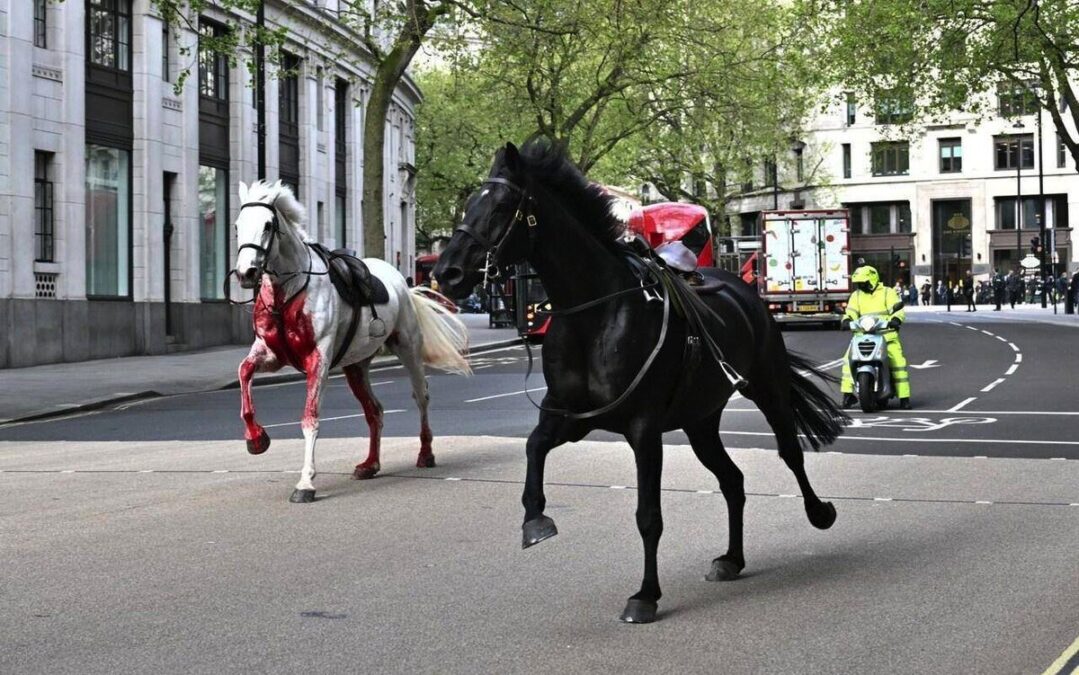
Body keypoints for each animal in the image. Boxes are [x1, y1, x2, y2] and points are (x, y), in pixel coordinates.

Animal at [234, 178, 470, 500]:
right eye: (237, 225)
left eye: (268, 225)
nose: (245, 273)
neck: (289, 292)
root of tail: (402, 282)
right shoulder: (271, 354)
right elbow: (244, 372)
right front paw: (256, 439)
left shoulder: (318, 360)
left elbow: (310, 418)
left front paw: (306, 483)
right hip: (356, 365)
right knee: (374, 411)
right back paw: (370, 465)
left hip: (408, 348)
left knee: (421, 396)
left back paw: (425, 454)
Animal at [433, 139, 845, 621]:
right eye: (467, 205)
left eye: (500, 206)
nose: (446, 273)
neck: (594, 315)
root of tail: (740, 286)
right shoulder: (570, 417)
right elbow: (534, 447)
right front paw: (535, 521)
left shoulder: (643, 429)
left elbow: (648, 515)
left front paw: (646, 595)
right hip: (700, 420)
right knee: (733, 480)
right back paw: (732, 559)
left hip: (767, 385)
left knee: (789, 451)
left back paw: (819, 512)